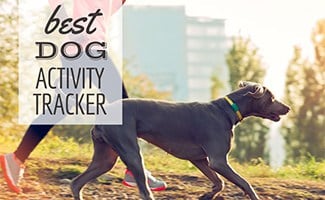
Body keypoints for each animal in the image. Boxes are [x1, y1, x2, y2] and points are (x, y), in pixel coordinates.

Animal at [70, 81, 288, 200]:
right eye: (272, 98)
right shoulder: (218, 160)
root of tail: (102, 114)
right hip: (130, 152)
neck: (226, 110)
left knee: (76, 183)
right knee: (145, 191)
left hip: (105, 157)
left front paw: (206, 196)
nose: (288, 108)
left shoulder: (200, 159)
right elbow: (245, 183)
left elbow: (219, 183)